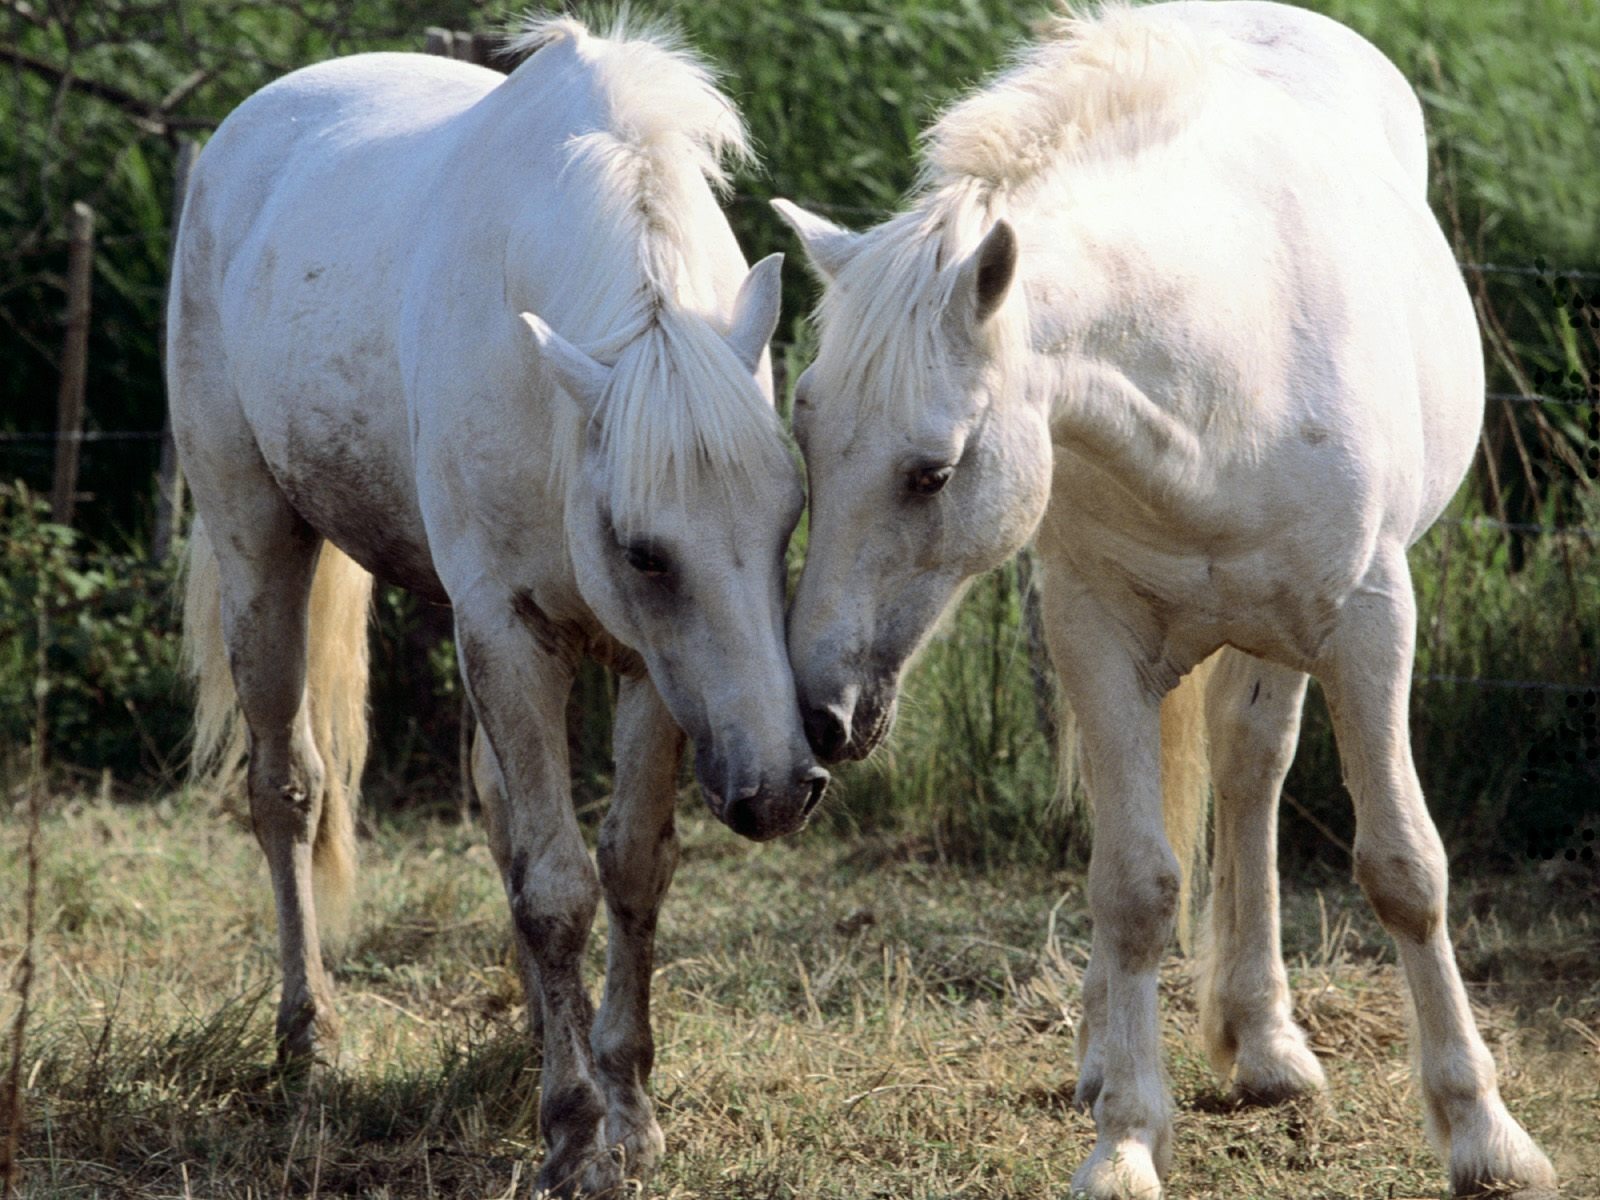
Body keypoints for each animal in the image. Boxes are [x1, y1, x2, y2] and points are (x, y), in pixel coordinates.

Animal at [173, 16, 825, 1196]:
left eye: (788, 517)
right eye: (644, 551)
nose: (781, 791)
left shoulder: (649, 671)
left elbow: (625, 864)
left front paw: (628, 1108)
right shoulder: (512, 633)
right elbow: (557, 883)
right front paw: (572, 1132)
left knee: (497, 814)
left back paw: (531, 1035)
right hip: (259, 545)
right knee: (287, 788)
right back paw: (309, 1038)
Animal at [780, 4, 1555, 1196]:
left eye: (932, 473)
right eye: (806, 445)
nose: (820, 715)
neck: (1217, 382)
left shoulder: (1372, 624)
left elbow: (1403, 867)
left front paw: (1484, 1134)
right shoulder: (1094, 635)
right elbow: (1135, 886)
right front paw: (1127, 1140)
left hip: (1283, 638)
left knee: (1250, 774)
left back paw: (1267, 1042)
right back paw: (1122, 1052)